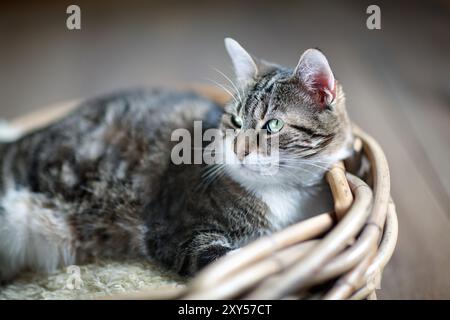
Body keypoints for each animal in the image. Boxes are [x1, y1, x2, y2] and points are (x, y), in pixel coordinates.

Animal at [0, 38, 352, 282]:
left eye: (274, 125)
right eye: (236, 121)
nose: (238, 150)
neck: (281, 194)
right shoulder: (177, 232)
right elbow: (229, 259)